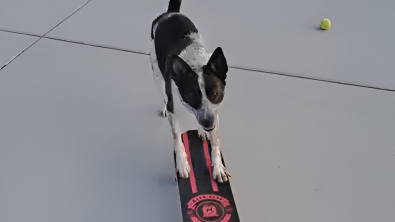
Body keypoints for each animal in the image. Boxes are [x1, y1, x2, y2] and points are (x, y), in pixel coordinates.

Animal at [150, 0, 230, 183]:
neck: (195, 62)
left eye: (214, 94)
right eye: (192, 95)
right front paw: (182, 164)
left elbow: (215, 142)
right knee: (162, 93)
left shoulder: (214, 114)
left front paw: (218, 167)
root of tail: (171, 13)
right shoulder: (175, 114)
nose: (207, 122)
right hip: (156, 72)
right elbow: (177, 139)